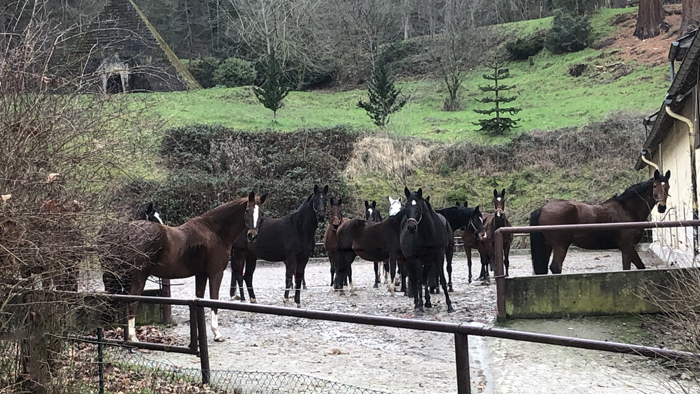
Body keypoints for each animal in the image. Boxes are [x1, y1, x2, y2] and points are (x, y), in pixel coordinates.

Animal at [98, 192, 262, 340]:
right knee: (131, 303)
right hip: (137, 277)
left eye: (260, 214)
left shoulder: (201, 274)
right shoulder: (215, 273)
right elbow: (213, 301)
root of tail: (126, 232)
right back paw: (133, 338)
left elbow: (200, 299)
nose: (252, 236)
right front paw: (217, 333)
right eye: (247, 211)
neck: (214, 232)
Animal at [532, 171, 672, 276]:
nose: (662, 207)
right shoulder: (627, 246)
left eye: (668, 186)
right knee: (556, 267)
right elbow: (633, 268)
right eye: (655, 186)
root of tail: (542, 208)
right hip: (561, 245)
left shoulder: (627, 248)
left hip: (547, 246)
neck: (627, 209)